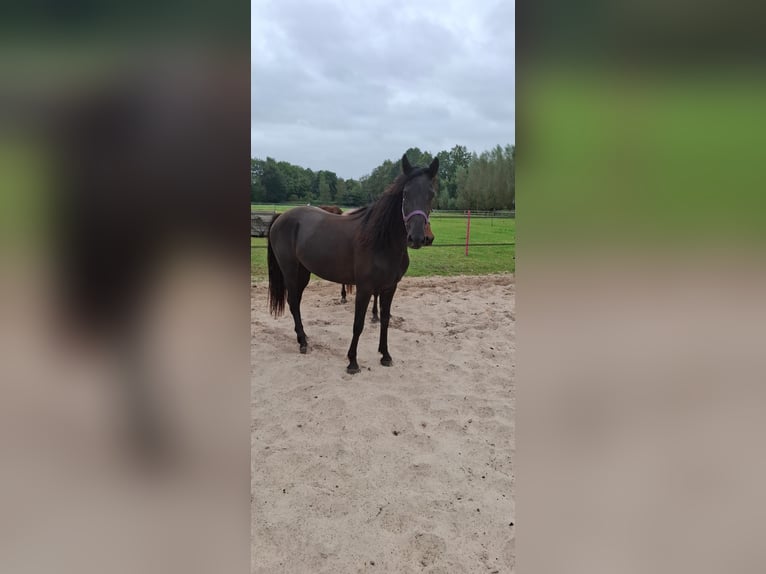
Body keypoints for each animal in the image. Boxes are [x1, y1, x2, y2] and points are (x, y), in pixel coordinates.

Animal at [268, 155, 438, 376]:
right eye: (405, 193)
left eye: (431, 194)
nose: (417, 238)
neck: (381, 241)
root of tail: (281, 217)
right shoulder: (364, 288)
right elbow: (358, 324)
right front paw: (352, 362)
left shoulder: (389, 287)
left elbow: (385, 319)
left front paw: (385, 355)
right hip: (289, 270)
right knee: (293, 302)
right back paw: (303, 342)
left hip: (303, 272)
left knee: (295, 301)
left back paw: (302, 338)